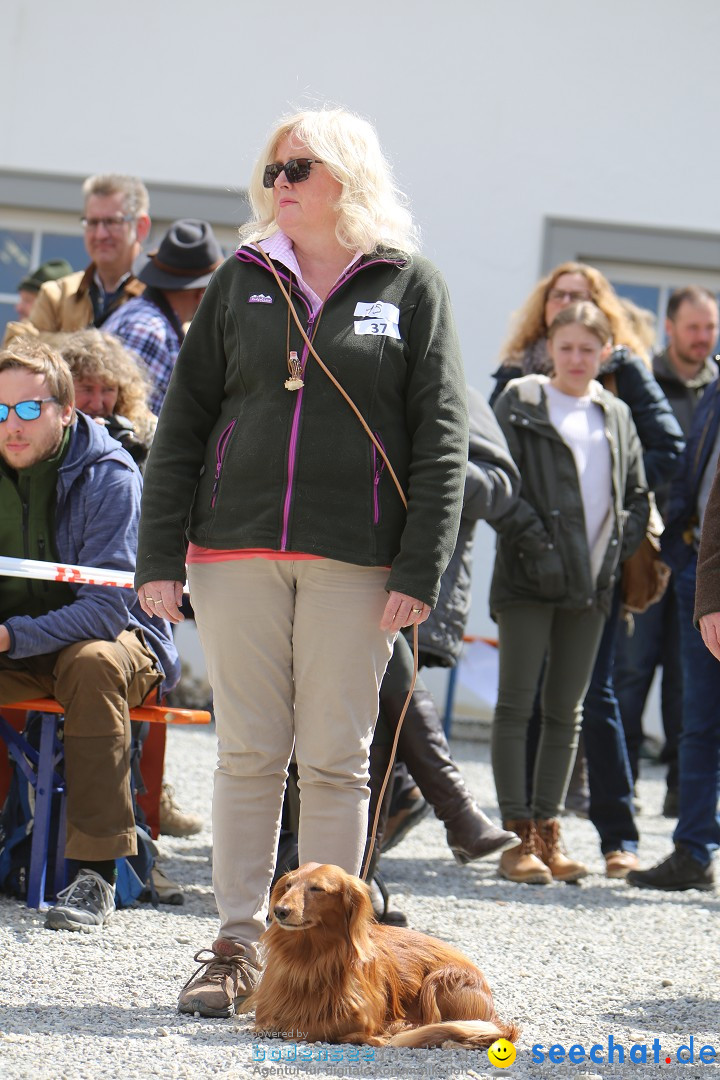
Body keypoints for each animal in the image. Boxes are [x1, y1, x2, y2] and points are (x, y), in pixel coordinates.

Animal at [243, 864, 524, 1049]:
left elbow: (316, 1027)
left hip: (439, 980)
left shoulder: (360, 1017)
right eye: (289, 885)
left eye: (317, 889)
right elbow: (266, 1022)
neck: (311, 955)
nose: (279, 911)